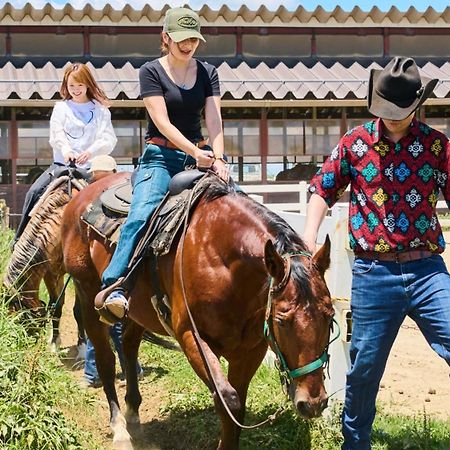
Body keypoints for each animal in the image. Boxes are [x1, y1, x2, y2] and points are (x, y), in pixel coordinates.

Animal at [59, 172, 334, 450]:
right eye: (281, 319)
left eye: (330, 316)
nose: (312, 403)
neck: (222, 261)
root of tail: (79, 198)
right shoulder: (191, 336)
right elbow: (228, 400)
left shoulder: (250, 349)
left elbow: (238, 407)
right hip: (86, 292)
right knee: (105, 359)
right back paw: (119, 428)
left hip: (138, 309)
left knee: (128, 345)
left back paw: (133, 413)